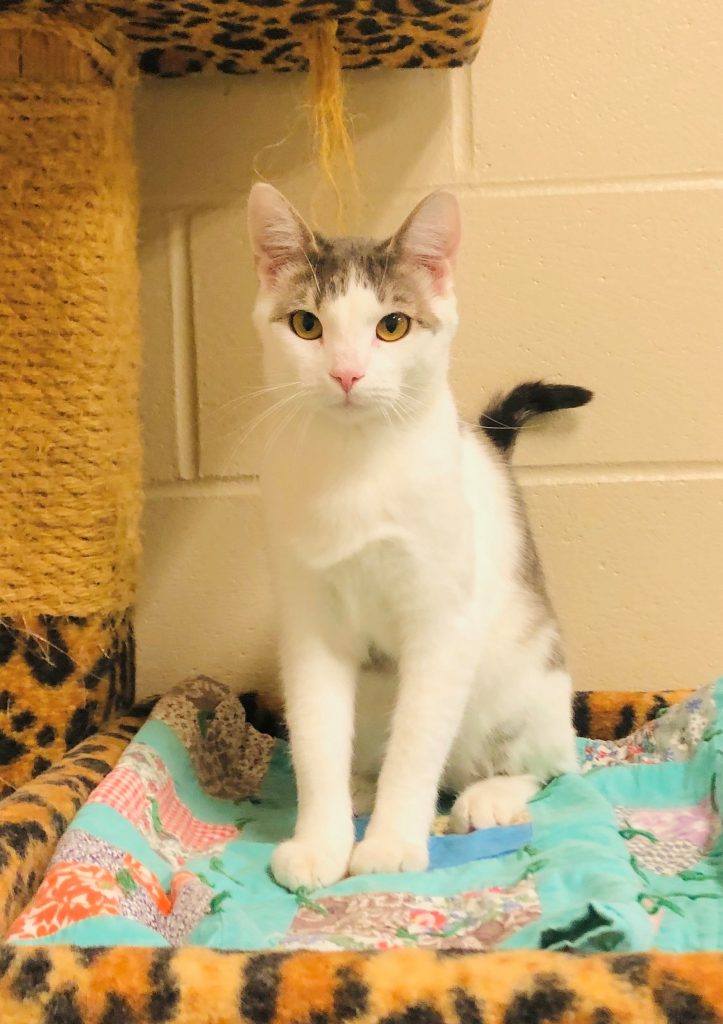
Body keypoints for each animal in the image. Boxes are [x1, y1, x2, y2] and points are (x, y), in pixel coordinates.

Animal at [246, 183, 592, 891]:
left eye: (392, 326)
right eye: (306, 324)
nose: (347, 374)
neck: (354, 469)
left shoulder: (441, 623)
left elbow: (416, 745)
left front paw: (390, 844)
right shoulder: (310, 626)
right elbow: (317, 737)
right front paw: (320, 842)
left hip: (521, 682)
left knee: (549, 763)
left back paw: (489, 796)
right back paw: (359, 787)